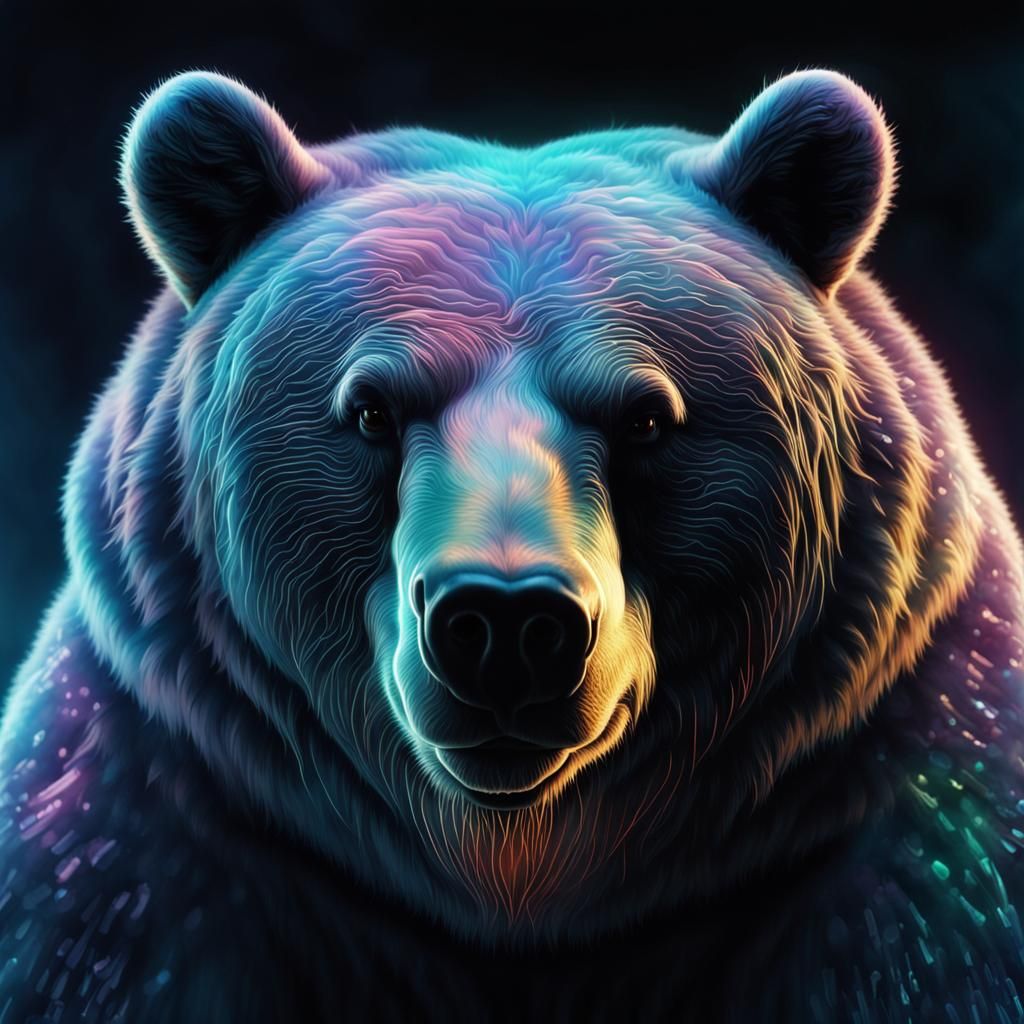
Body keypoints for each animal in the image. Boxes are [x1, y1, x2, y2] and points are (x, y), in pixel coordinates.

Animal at [0, 65, 1022, 1023]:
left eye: (647, 417)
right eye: (370, 409)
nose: (505, 623)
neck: (518, 875)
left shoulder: (913, 825)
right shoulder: (146, 830)